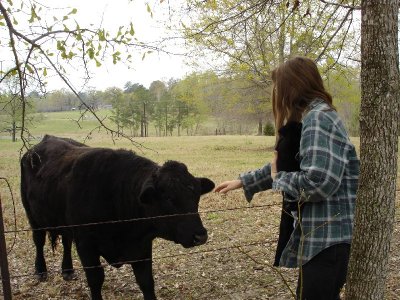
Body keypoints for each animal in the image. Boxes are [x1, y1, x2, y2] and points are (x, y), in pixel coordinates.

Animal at [21, 136, 216, 300]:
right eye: (168, 198)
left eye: (196, 195)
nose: (200, 236)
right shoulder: (86, 245)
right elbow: (96, 280)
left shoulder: (142, 247)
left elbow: (146, 282)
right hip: (33, 216)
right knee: (39, 241)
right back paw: (41, 270)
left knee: (66, 241)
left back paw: (67, 270)